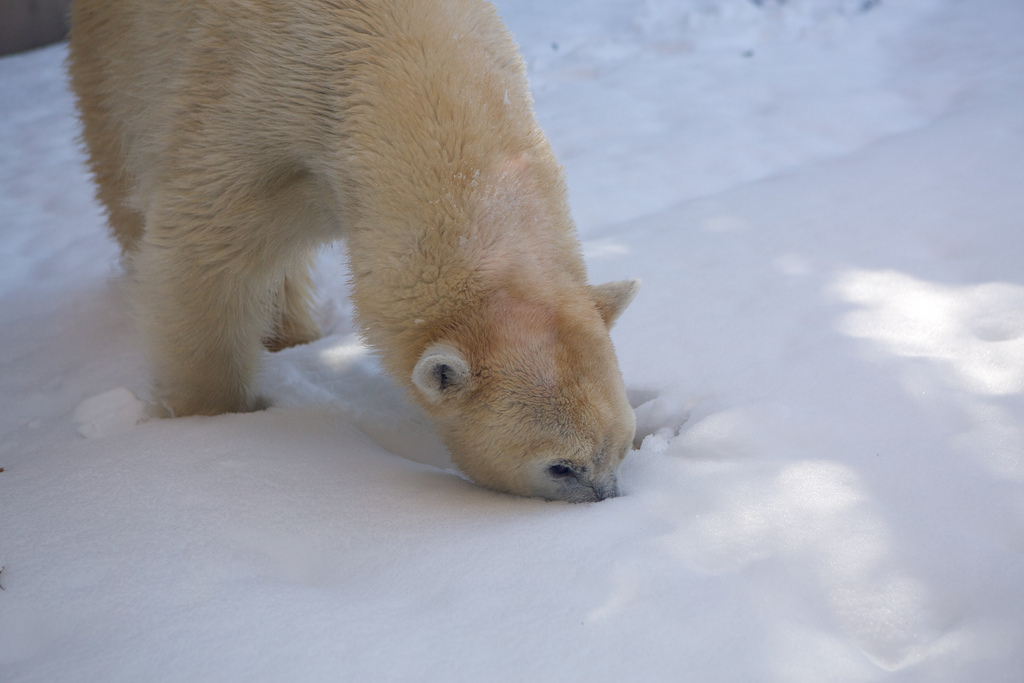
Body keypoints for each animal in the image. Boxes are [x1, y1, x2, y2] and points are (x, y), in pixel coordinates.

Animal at [68, 0, 634, 501]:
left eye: (623, 444)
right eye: (560, 465)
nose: (607, 499)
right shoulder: (245, 108)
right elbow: (203, 258)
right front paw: (213, 423)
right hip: (121, 50)